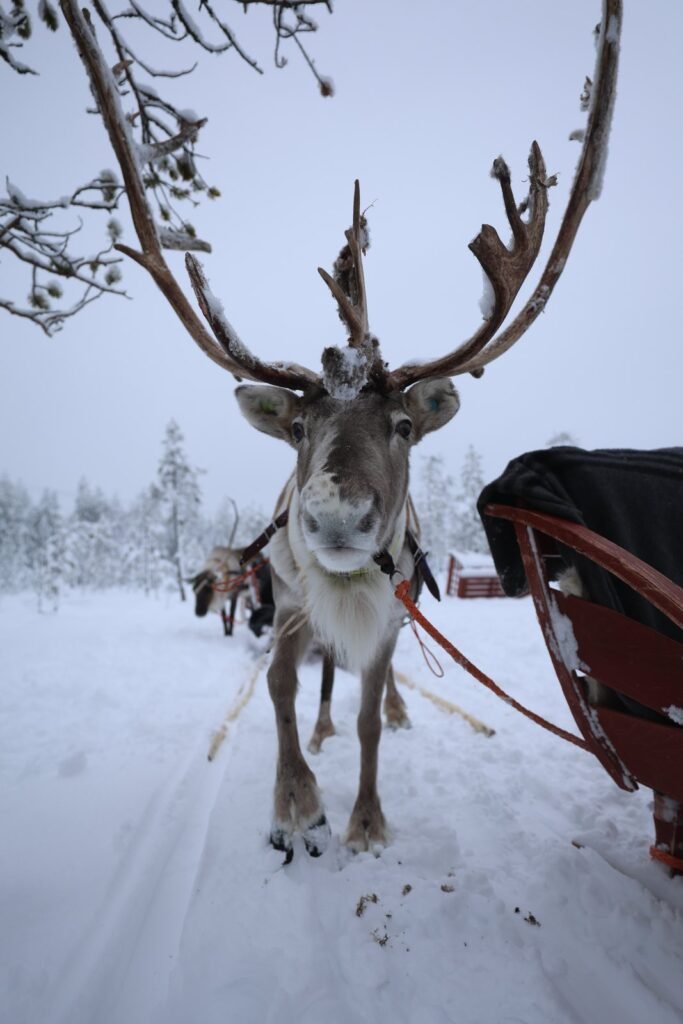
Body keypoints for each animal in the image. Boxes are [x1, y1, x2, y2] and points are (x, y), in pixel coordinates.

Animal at [61, 0, 621, 857]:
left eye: (403, 424)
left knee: (367, 689)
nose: (333, 519)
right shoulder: (289, 606)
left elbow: (367, 719)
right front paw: (296, 798)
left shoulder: (387, 616)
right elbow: (281, 690)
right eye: (297, 429)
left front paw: (365, 816)